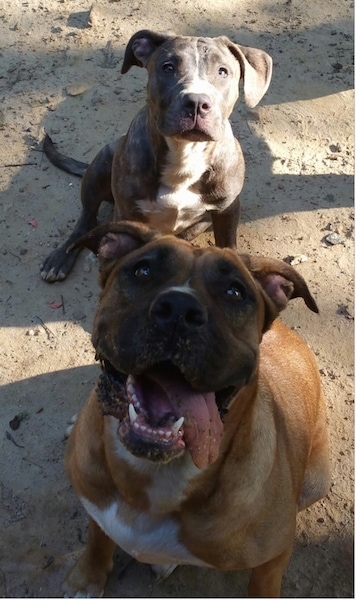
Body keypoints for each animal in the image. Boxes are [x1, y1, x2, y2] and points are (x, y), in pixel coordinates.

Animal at [39, 31, 272, 284]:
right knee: (87, 217)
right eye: (168, 67)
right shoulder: (127, 213)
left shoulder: (227, 209)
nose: (197, 102)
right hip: (102, 161)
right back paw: (61, 257)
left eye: (223, 71)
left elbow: (227, 245)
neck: (185, 152)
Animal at [62, 223, 330, 596]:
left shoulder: (275, 556)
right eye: (143, 271)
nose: (179, 308)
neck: (155, 476)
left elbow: (262, 585)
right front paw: (88, 575)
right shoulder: (93, 500)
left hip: (316, 482)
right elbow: (97, 537)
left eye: (234, 292)